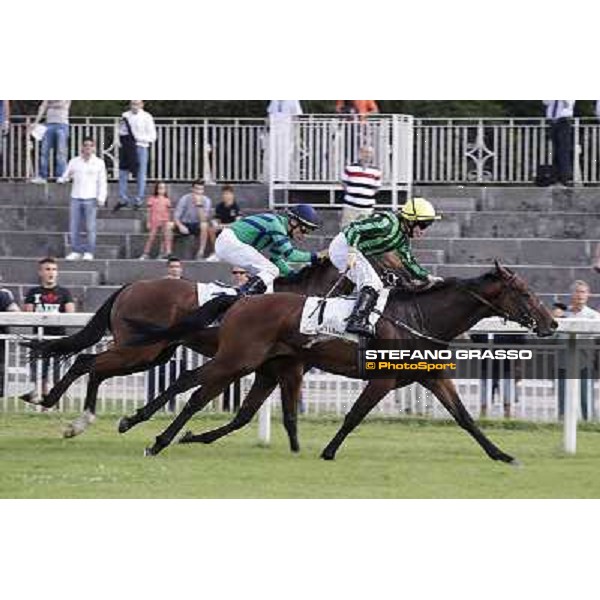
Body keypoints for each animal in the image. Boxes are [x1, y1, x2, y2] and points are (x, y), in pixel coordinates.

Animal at [124, 260, 556, 462]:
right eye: (524, 292)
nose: (551, 322)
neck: (419, 317)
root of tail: (242, 300)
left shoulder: (431, 377)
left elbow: (465, 418)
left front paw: (502, 454)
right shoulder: (382, 379)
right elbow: (353, 416)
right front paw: (328, 451)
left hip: (255, 363)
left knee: (207, 395)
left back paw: (169, 433)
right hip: (237, 358)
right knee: (192, 389)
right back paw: (151, 435)